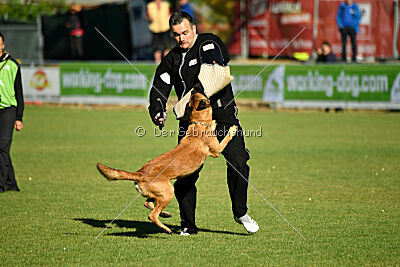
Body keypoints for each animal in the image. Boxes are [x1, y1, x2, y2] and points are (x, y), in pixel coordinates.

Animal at [97, 90, 238, 234]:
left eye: (192, 98)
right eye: (200, 94)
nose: (194, 89)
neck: (199, 122)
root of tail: (140, 173)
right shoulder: (216, 150)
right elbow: (226, 139)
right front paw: (232, 129)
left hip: (159, 193)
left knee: (148, 203)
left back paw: (165, 214)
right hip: (168, 193)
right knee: (152, 215)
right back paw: (166, 228)